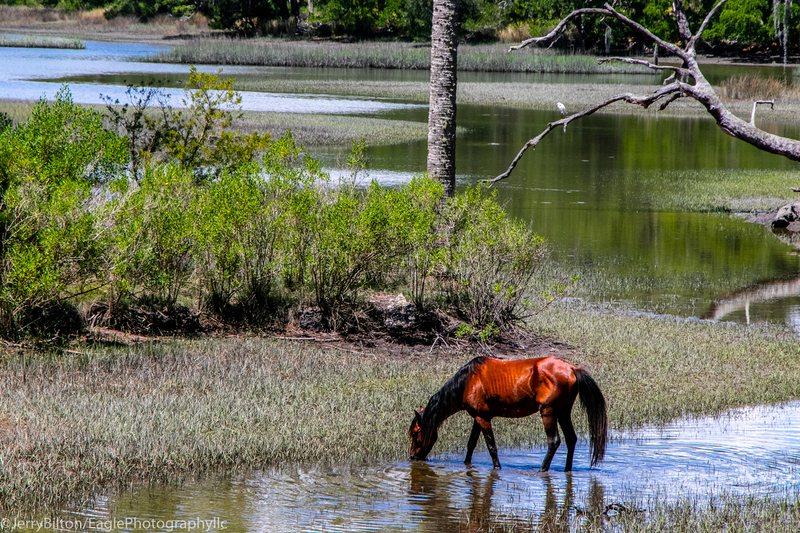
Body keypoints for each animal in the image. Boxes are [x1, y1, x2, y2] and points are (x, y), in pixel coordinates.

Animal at [408, 356, 607, 471]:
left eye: (415, 433)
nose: (412, 456)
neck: (466, 382)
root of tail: (572, 368)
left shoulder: (483, 418)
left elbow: (491, 446)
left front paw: (497, 468)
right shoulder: (478, 417)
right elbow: (471, 443)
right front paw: (467, 465)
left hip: (548, 412)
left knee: (554, 441)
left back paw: (542, 470)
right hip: (563, 412)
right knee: (571, 439)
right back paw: (567, 470)